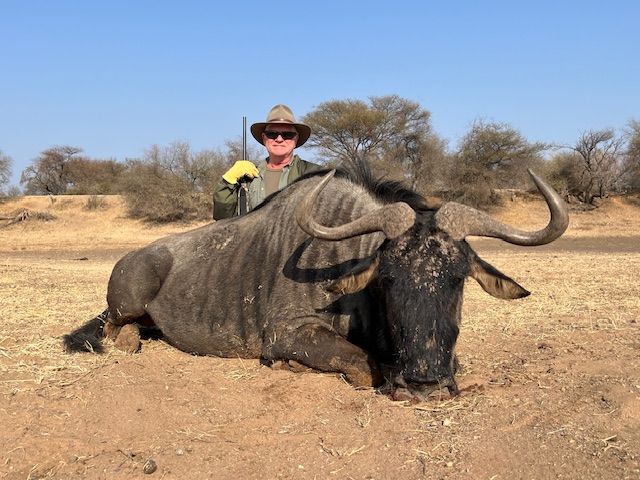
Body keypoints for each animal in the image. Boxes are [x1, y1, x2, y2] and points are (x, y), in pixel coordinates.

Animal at [64, 161, 568, 401]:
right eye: (387, 280)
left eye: (458, 279)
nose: (425, 386)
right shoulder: (290, 333)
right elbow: (363, 364)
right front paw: (290, 368)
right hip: (127, 302)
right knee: (114, 329)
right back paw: (128, 341)